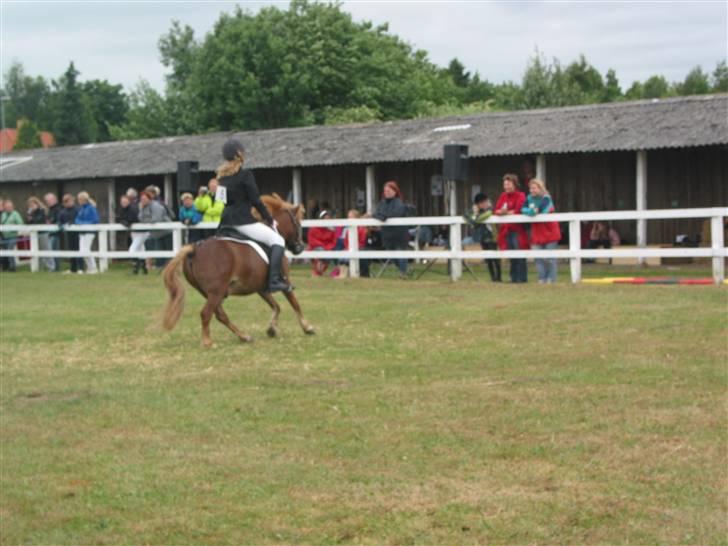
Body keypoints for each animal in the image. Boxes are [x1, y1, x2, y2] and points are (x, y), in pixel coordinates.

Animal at [164, 192, 314, 344]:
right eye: (298, 223)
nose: (300, 247)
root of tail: (194, 249)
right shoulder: (284, 280)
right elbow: (294, 303)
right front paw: (307, 327)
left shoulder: (261, 287)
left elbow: (276, 306)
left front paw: (272, 329)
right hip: (216, 292)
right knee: (206, 313)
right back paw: (207, 342)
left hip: (211, 293)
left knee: (220, 315)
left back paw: (244, 336)